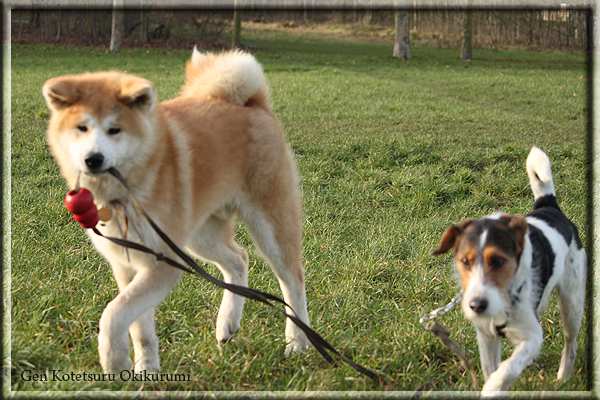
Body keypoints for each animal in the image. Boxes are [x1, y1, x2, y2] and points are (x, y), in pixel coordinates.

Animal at [432, 146, 584, 390]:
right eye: (465, 261)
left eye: (498, 261)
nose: (477, 305)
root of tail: (549, 207)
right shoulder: (486, 337)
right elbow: (491, 369)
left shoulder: (532, 336)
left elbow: (506, 370)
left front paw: (493, 387)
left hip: (572, 305)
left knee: (571, 343)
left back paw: (563, 376)